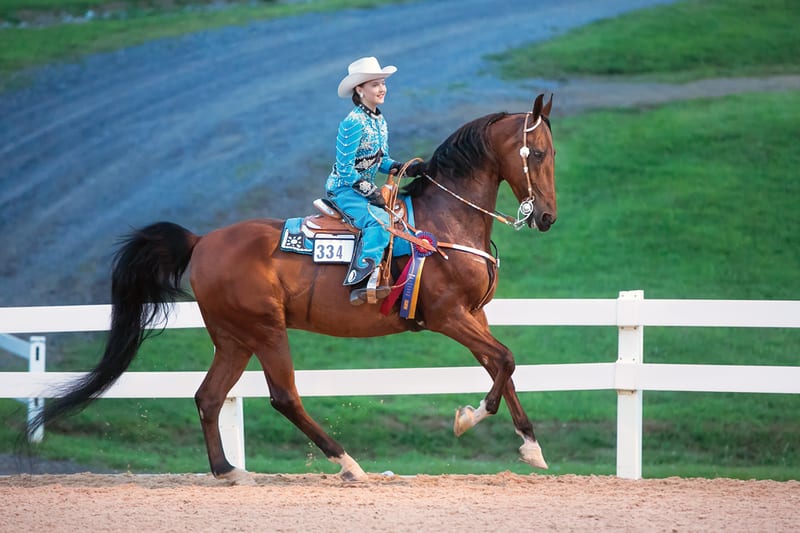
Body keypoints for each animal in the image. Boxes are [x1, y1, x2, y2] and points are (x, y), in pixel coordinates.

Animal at [32, 94, 556, 484]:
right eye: (538, 153)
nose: (547, 218)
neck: (445, 222)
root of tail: (201, 242)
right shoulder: (448, 315)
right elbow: (505, 359)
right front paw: (469, 418)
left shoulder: (475, 314)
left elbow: (500, 363)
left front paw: (531, 447)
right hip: (266, 330)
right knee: (284, 397)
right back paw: (348, 463)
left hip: (234, 338)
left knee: (208, 397)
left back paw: (227, 470)